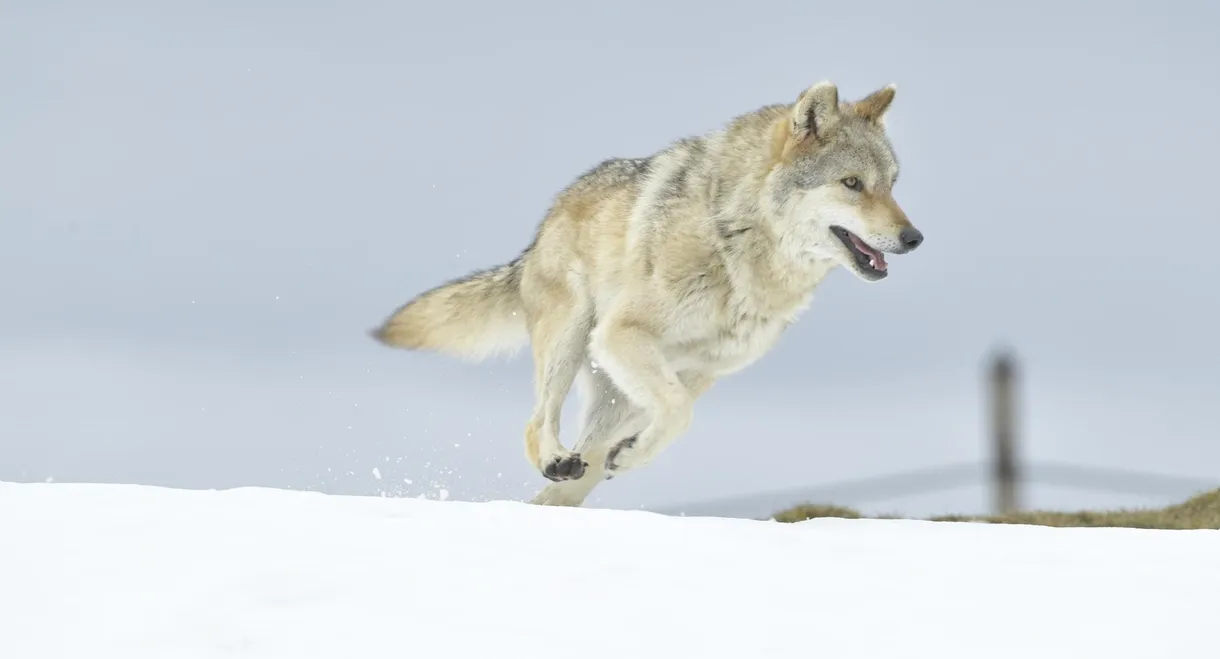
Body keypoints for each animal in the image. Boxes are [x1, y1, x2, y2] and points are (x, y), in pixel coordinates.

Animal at [372, 80, 924, 507]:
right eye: (852, 183)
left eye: (892, 185)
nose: (914, 238)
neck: (737, 244)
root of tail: (544, 224)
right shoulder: (624, 334)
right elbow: (678, 413)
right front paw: (632, 453)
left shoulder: (700, 371)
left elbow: (674, 418)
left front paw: (631, 453)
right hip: (576, 336)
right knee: (537, 425)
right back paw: (555, 460)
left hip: (615, 390)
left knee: (580, 467)